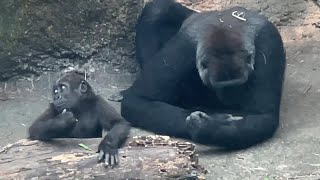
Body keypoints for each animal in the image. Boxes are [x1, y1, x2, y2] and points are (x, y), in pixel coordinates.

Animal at [121, 0, 286, 149]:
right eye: (222, 87)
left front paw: (208, 128)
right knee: (157, 10)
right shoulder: (183, 46)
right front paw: (210, 122)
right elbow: (138, 100)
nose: (231, 99)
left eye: (238, 85)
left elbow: (263, 116)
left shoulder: (269, 43)